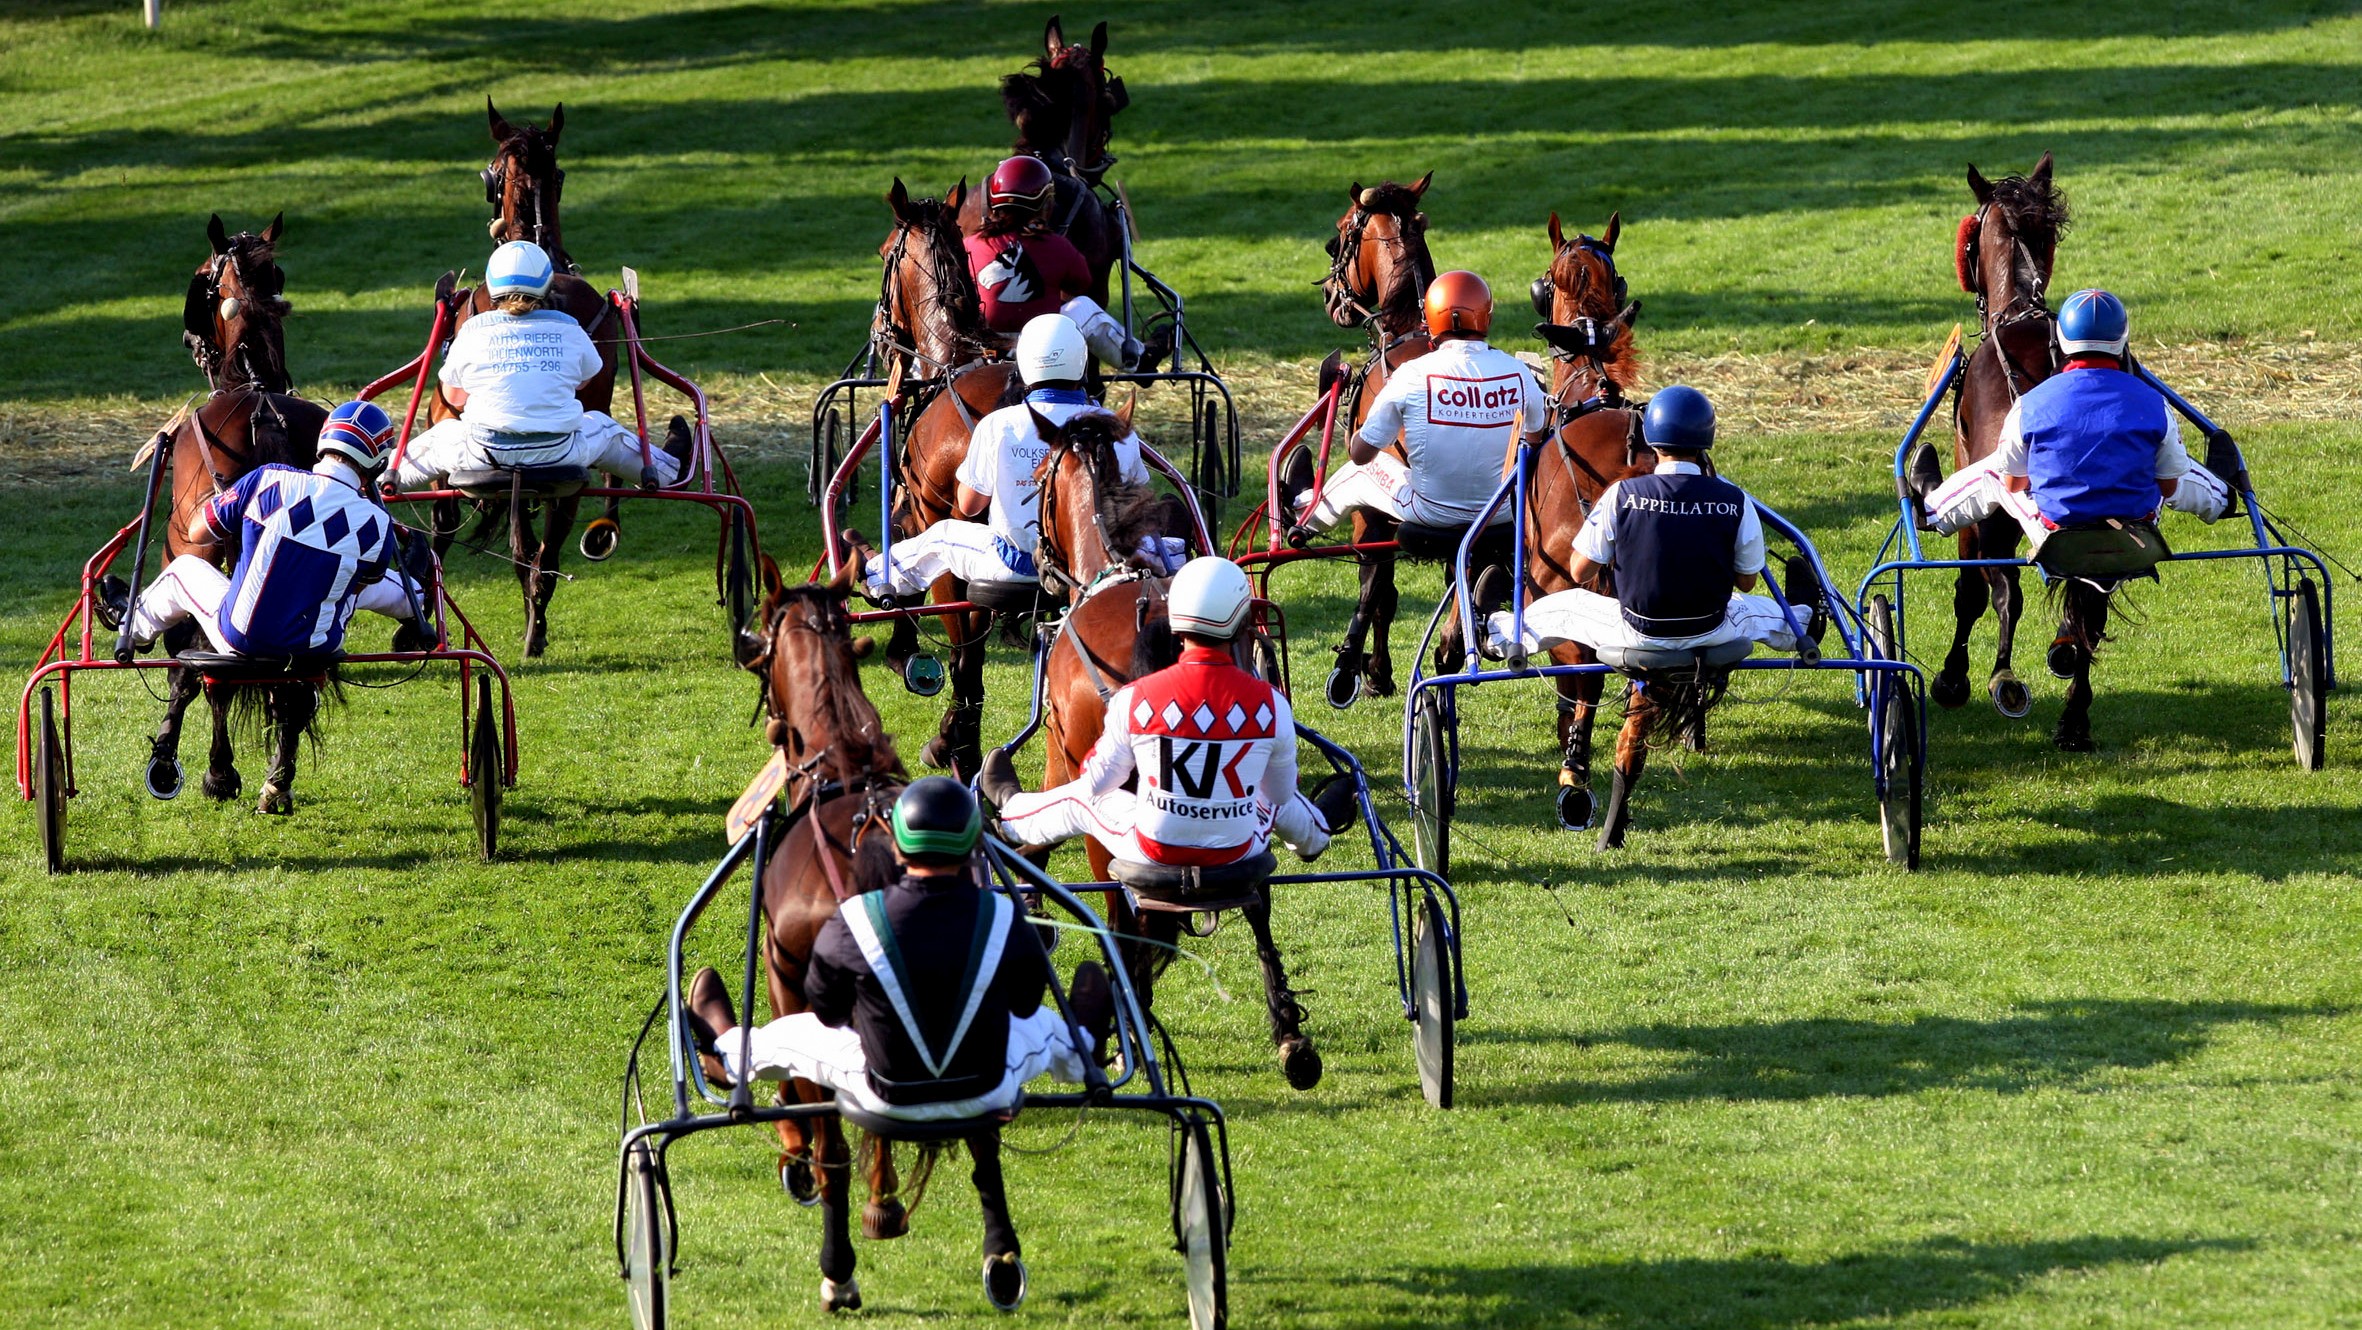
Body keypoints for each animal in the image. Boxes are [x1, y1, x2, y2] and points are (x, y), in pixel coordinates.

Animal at [142, 214, 337, 814]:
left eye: (201, 274)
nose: (189, 340)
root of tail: (260, 413)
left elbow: (192, 671)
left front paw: (194, 762)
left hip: (194, 553)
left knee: (205, 669)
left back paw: (216, 770)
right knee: (296, 680)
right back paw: (279, 778)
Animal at [735, 568, 962, 1308]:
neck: (842, 767)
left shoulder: (784, 976)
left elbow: (810, 1101)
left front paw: (797, 1153)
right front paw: (881, 1199)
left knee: (837, 1130)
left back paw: (838, 1266)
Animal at [1031, 408, 1323, 1089]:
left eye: (1036, 479)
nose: (1036, 557)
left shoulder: (1065, 760)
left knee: (1123, 911)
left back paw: (1124, 1028)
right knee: (1257, 895)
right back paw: (1288, 1032)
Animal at [1928, 153, 2075, 739]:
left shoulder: (1972, 493)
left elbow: (1973, 592)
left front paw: (1955, 676)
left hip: (1991, 513)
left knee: (1999, 589)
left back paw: (2001, 678)